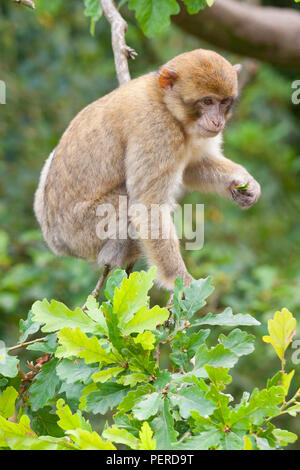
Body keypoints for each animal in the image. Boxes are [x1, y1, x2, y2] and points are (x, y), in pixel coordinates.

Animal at [34, 48, 260, 290]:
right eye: (207, 101)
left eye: (224, 102)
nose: (217, 121)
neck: (165, 102)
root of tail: (55, 240)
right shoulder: (157, 129)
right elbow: (148, 206)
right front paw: (181, 282)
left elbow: (192, 167)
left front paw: (243, 183)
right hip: (81, 231)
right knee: (127, 202)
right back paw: (114, 256)